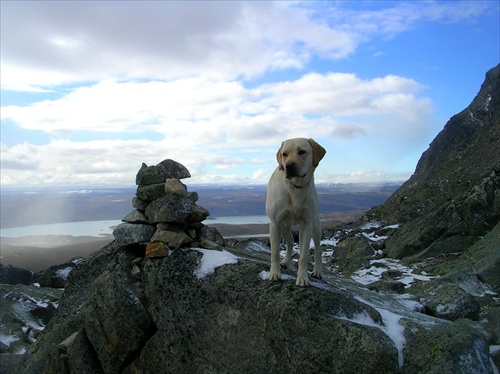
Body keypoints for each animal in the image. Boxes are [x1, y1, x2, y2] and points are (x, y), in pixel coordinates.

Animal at [268, 137, 326, 286]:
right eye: (284, 154)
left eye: (302, 152)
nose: (289, 166)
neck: (295, 187)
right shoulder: (275, 223)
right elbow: (275, 252)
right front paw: (274, 273)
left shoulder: (307, 224)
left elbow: (304, 256)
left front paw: (302, 278)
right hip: (284, 226)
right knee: (289, 242)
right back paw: (285, 262)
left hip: (316, 225)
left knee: (318, 248)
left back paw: (318, 271)